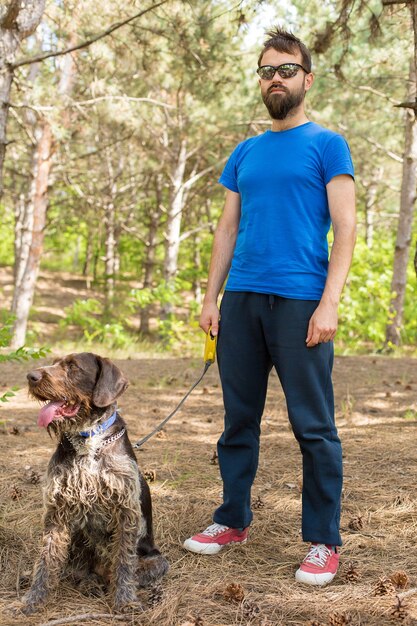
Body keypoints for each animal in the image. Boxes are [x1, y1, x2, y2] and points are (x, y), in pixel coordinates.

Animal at [19, 354, 167, 612]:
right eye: (54, 362)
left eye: (73, 366)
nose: (31, 376)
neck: (88, 441)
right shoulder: (57, 510)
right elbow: (47, 558)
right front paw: (34, 599)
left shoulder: (125, 511)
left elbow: (124, 561)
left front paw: (124, 601)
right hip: (77, 541)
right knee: (78, 572)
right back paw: (88, 584)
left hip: (157, 561)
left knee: (124, 571)